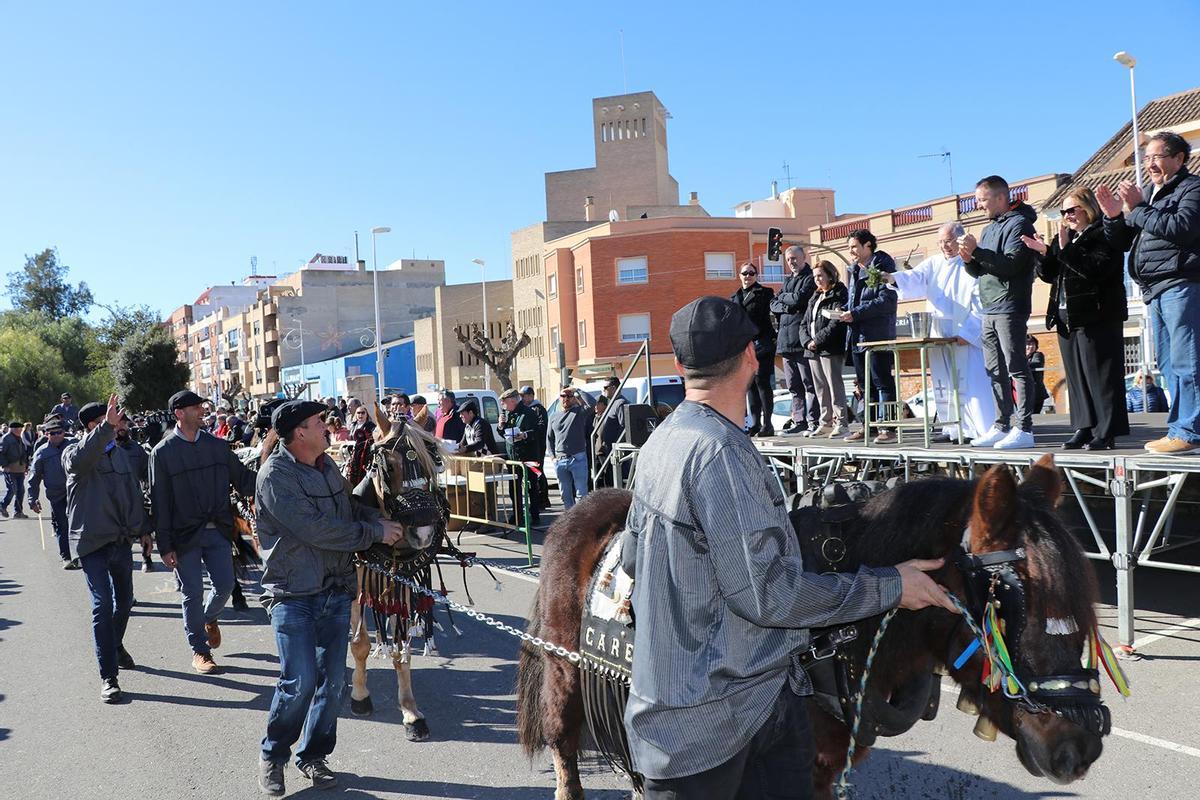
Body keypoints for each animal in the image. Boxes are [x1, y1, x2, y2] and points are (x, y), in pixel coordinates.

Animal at [518, 455, 1123, 800]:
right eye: (1010, 601)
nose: (1079, 746)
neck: (837, 637)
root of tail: (578, 508)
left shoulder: (826, 765)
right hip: (565, 680)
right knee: (566, 757)